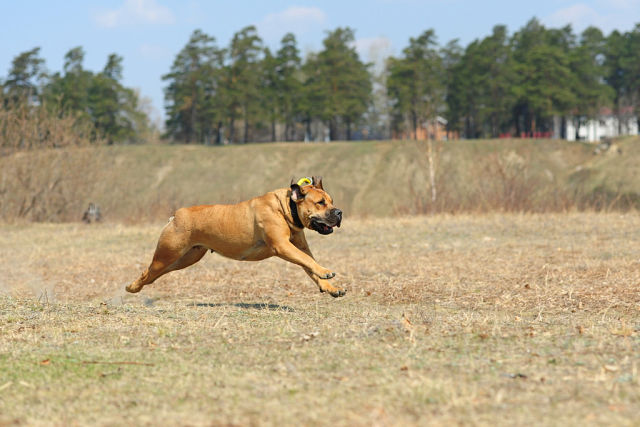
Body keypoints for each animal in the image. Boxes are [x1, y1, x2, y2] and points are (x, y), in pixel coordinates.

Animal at [126, 176, 345, 297]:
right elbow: (309, 262)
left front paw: (330, 287)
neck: (287, 208)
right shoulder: (283, 246)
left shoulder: (298, 248)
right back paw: (132, 287)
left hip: (185, 258)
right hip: (167, 255)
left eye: (331, 201)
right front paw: (326, 271)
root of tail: (177, 215)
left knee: (154, 275)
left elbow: (309, 265)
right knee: (148, 272)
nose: (339, 212)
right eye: (320, 203)